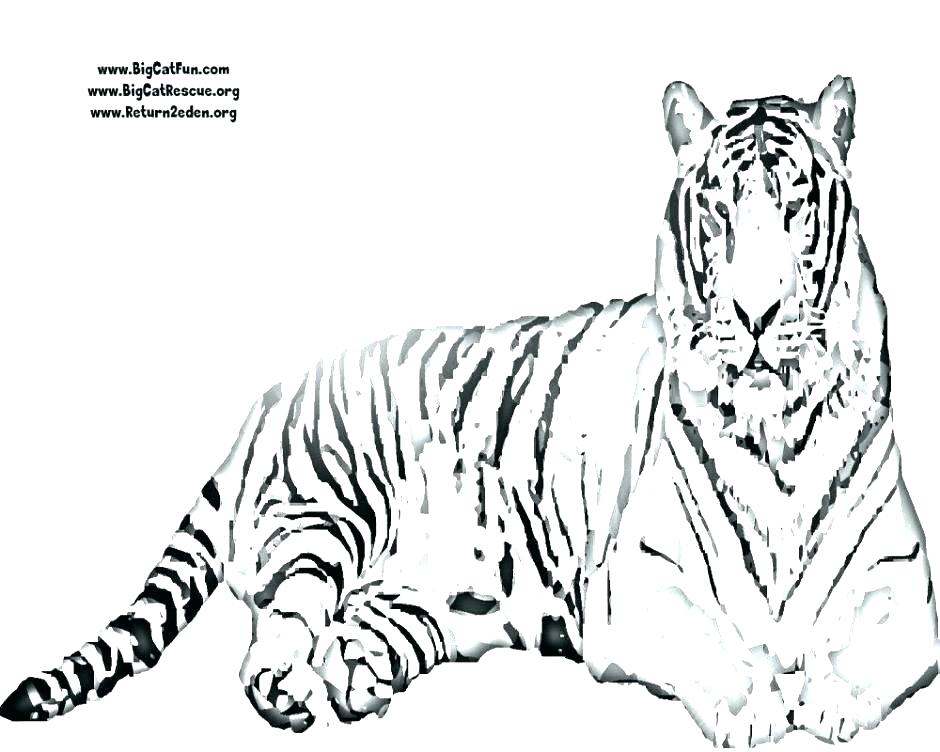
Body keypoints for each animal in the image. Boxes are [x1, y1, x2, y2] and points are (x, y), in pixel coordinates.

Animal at [1, 76, 937, 747]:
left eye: (794, 206)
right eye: (717, 210)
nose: (756, 312)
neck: (778, 426)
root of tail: (275, 389)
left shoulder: (903, 587)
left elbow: (875, 648)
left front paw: (828, 701)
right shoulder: (640, 582)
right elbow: (715, 644)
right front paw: (759, 707)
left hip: (423, 600)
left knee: (354, 635)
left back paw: (355, 685)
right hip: (321, 518)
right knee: (275, 631)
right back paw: (288, 692)